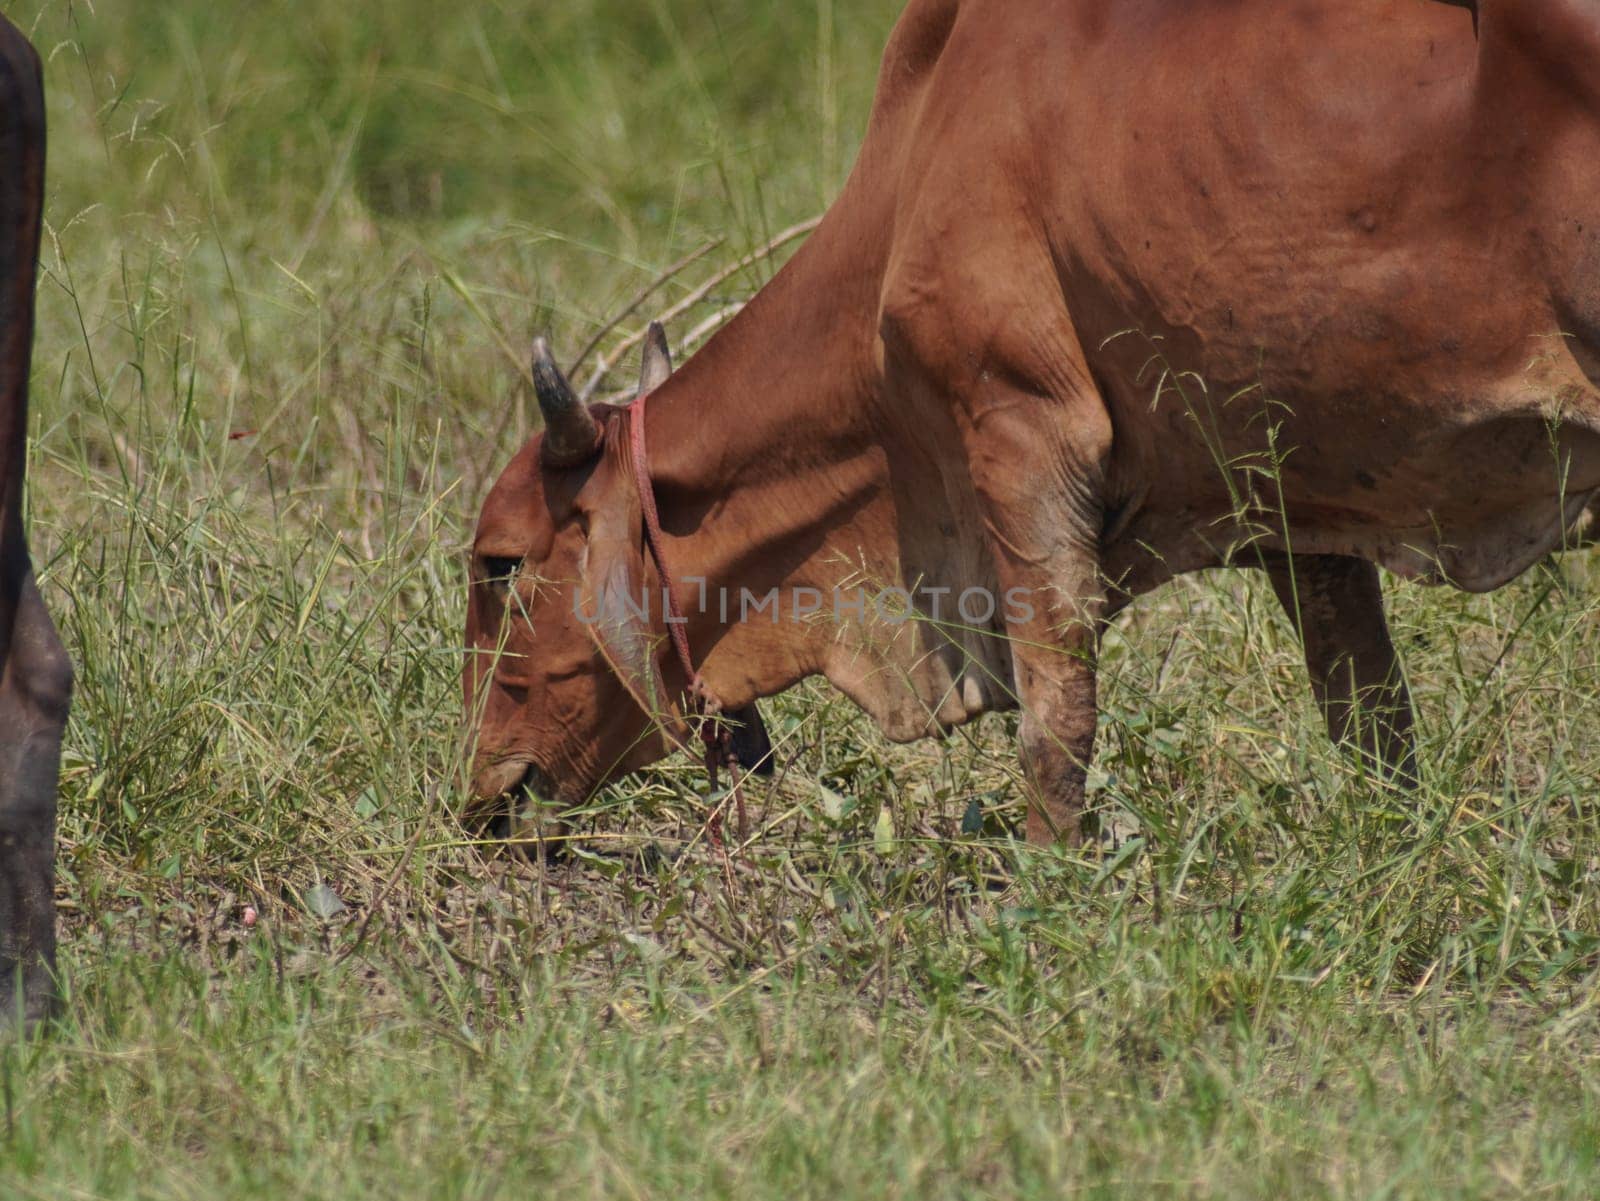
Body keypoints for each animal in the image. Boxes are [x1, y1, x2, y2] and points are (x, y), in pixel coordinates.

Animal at [460, 0, 1587, 844]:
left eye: (500, 565)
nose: (481, 794)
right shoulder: (1292, 502)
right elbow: (1369, 715)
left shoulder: (1016, 427)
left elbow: (1056, 719)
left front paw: (1049, 885)